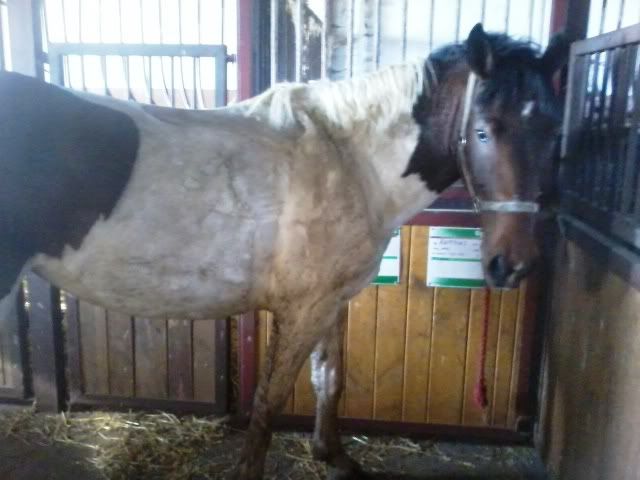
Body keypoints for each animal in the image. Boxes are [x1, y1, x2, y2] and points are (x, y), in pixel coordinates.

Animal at [0, 23, 568, 480]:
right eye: (482, 132)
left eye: (554, 136)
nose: (511, 266)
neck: (351, 159)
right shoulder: (302, 309)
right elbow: (269, 401)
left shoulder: (332, 301)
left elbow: (329, 381)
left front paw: (333, 456)